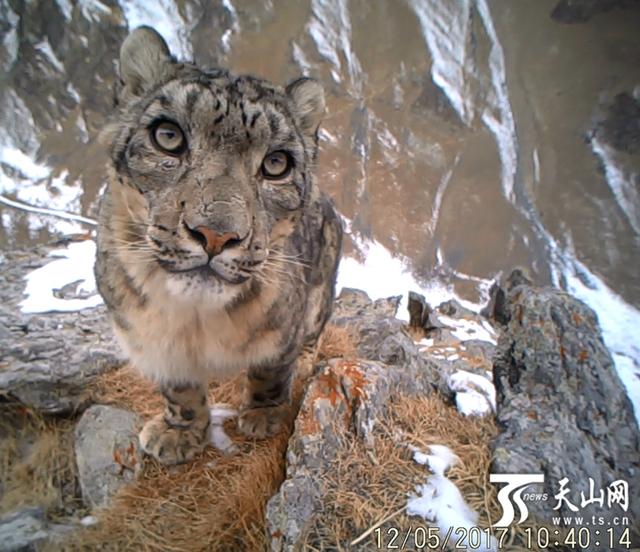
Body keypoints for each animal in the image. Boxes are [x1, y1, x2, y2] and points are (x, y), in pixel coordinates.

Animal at [93, 27, 342, 466]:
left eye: (277, 163)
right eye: (168, 136)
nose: (216, 235)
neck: (195, 323)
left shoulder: (283, 330)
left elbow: (271, 369)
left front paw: (263, 415)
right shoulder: (156, 344)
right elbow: (179, 389)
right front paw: (178, 433)